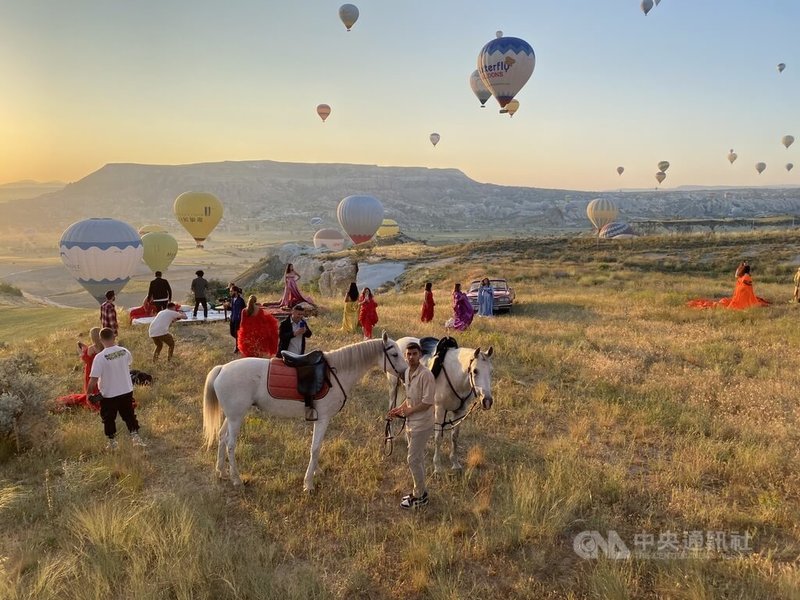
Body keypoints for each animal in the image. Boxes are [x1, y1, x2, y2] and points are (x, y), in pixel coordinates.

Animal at [203, 332, 410, 492]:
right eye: (394, 354)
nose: (406, 373)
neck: (336, 373)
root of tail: (222, 369)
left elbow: (317, 447)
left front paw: (316, 472)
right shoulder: (323, 419)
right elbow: (315, 448)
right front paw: (309, 483)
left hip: (231, 417)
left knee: (222, 438)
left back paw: (221, 471)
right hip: (236, 418)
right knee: (230, 445)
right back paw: (236, 479)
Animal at [388, 338, 494, 474]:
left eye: (491, 371)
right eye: (475, 371)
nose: (487, 401)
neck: (455, 375)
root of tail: (398, 341)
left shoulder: (460, 411)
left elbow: (454, 437)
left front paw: (455, 464)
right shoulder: (440, 409)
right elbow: (438, 438)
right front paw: (437, 467)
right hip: (393, 389)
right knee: (391, 411)